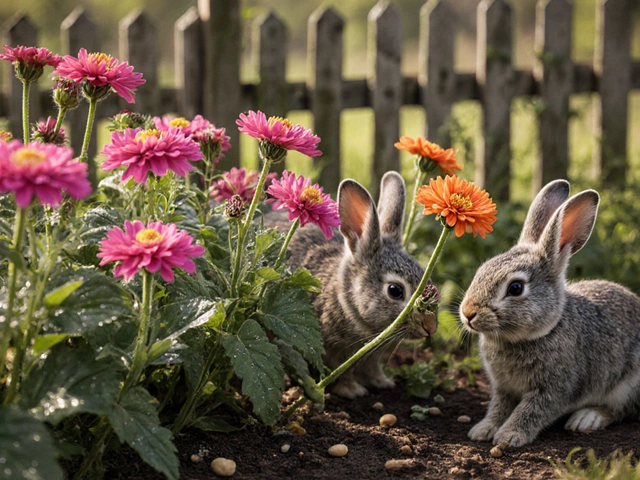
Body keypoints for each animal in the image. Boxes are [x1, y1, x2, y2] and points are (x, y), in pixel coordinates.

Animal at [277, 171, 438, 399]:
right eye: (395, 291)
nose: (430, 327)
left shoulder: (371, 355)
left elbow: (372, 368)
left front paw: (383, 383)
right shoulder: (332, 351)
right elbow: (339, 372)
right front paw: (352, 390)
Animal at [459, 179, 640, 447]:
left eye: (515, 288)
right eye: (481, 270)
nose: (468, 313)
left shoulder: (555, 388)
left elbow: (531, 411)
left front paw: (509, 435)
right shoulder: (503, 388)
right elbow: (498, 408)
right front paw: (483, 430)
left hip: (628, 386)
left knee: (621, 410)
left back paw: (587, 418)